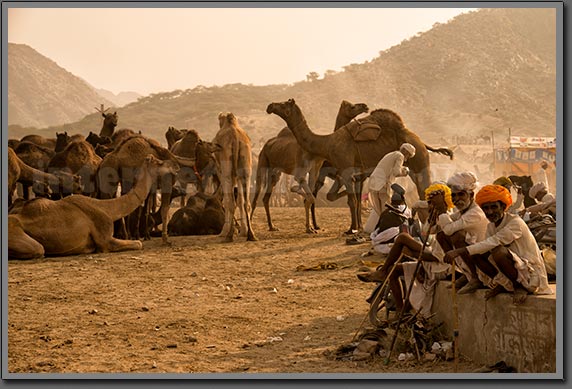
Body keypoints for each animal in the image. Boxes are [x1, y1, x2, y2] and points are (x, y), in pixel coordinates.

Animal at [6, 153, 177, 260]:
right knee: (38, 249)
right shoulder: (105, 239)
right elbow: (139, 243)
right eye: (159, 162)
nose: (175, 168)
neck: (108, 209)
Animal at [212, 110, 256, 241]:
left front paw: (224, 232)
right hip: (246, 159)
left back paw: (228, 235)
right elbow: (241, 200)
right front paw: (243, 232)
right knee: (246, 202)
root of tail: (235, 137)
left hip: (226, 164)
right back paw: (251, 235)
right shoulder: (238, 176)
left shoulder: (220, 171)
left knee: (230, 201)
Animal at [252, 100, 368, 233]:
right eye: (352, 106)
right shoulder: (322, 174)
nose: (365, 106)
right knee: (256, 195)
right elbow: (317, 197)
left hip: (275, 172)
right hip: (262, 162)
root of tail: (267, 144)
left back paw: (272, 226)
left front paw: (359, 226)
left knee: (266, 197)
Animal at [266, 99, 454, 233]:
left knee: (424, 189)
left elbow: (352, 200)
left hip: (420, 162)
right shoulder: (352, 174)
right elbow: (352, 199)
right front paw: (356, 226)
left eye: (284, 104)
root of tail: (421, 141)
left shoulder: (346, 170)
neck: (327, 143)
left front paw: (353, 229)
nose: (270, 106)